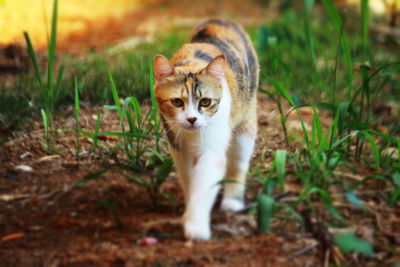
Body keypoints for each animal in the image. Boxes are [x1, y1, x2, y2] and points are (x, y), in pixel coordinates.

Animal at [153, 18, 260, 241]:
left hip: (245, 123)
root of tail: (219, 20)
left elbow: (203, 184)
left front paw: (196, 226)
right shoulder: (178, 147)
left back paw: (232, 201)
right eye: (177, 102)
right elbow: (188, 179)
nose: (192, 119)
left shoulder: (211, 149)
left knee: (238, 163)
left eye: (205, 102)